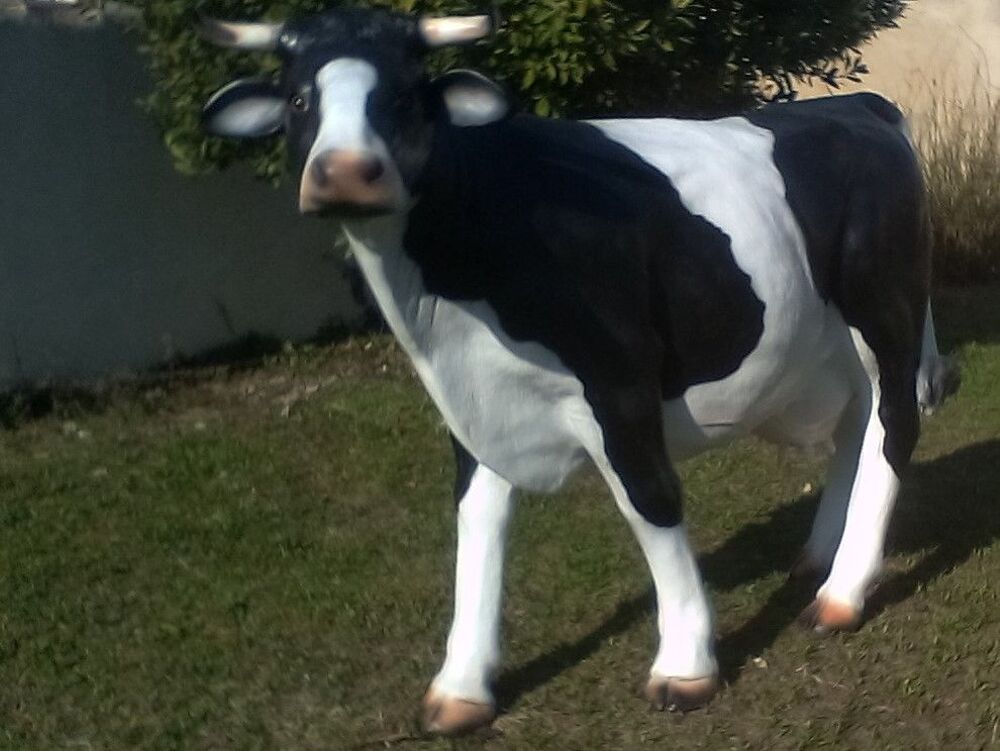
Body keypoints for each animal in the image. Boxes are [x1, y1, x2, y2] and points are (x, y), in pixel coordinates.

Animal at [198, 7, 958, 736]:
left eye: (406, 97)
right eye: (300, 98)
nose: (347, 171)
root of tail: (860, 105)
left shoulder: (619, 386)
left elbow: (651, 502)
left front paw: (685, 664)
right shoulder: (474, 403)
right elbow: (477, 522)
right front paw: (461, 683)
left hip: (885, 304)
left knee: (894, 424)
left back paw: (842, 593)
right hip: (832, 343)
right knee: (856, 428)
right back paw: (822, 555)